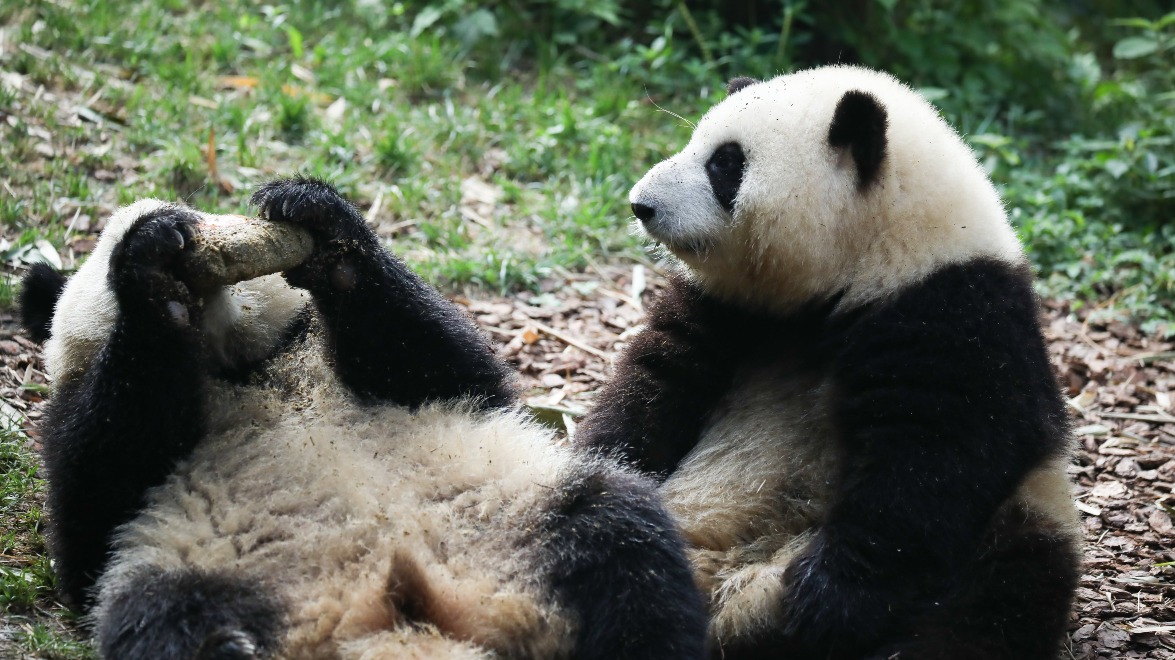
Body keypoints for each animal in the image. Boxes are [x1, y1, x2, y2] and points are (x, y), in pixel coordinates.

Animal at [20, 178, 705, 657]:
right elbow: (93, 497)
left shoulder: (374, 366)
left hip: (516, 513)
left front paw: (319, 221)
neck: (244, 367)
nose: (205, 268)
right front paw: (154, 267)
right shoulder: (85, 437)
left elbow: (441, 361)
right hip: (204, 558)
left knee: (623, 547)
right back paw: (225, 647)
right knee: (159, 614)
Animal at [573, 65, 1076, 657]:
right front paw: (601, 477)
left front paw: (825, 596)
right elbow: (656, 381)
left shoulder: (958, 315)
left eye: (725, 164)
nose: (641, 204)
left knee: (998, 590)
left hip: (1023, 517)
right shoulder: (729, 308)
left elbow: (934, 458)